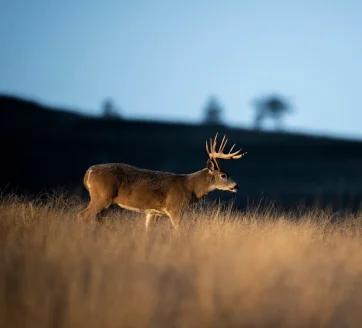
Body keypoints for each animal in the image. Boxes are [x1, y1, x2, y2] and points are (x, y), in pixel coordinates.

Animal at [76, 133, 246, 231]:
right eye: (224, 175)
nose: (236, 186)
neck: (189, 187)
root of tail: (89, 172)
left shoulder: (153, 212)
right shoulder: (175, 208)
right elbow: (180, 232)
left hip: (107, 203)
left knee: (97, 218)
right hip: (101, 197)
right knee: (82, 215)